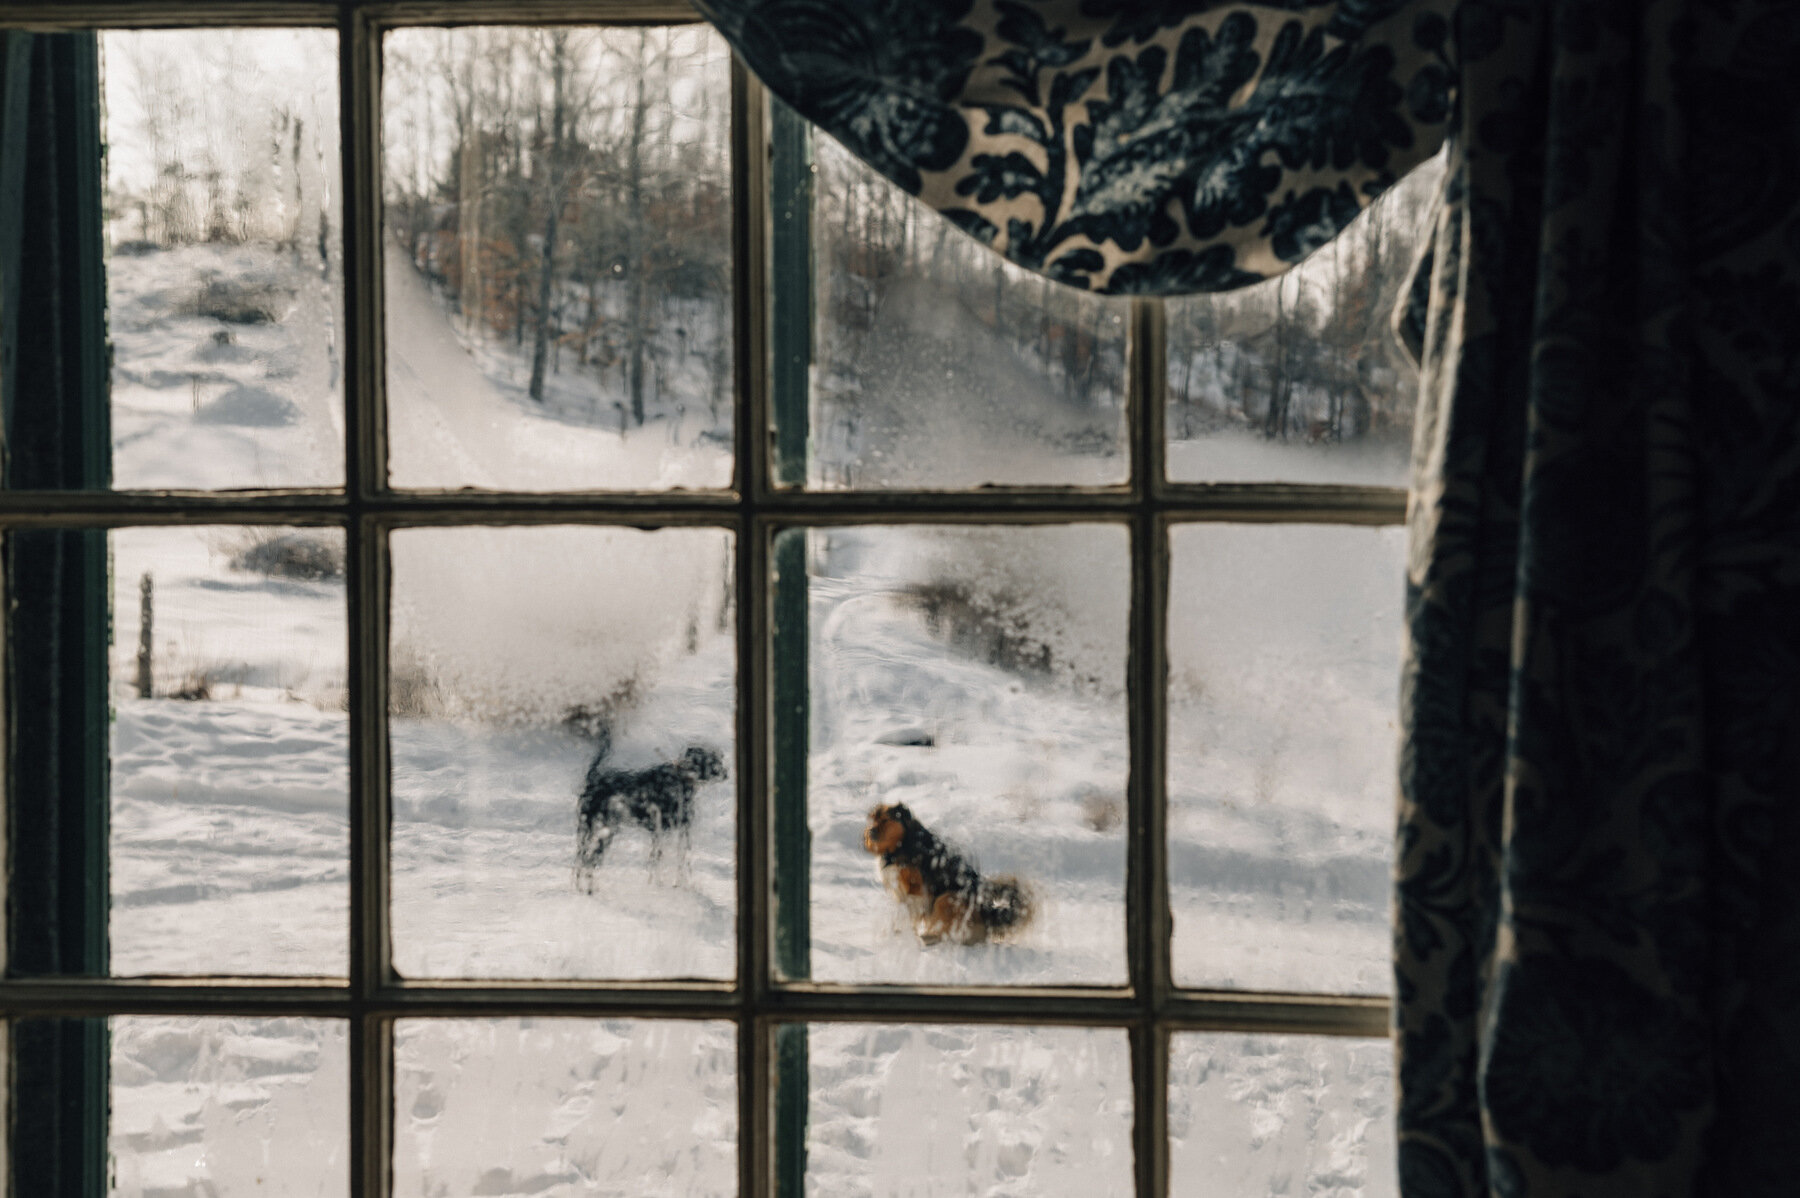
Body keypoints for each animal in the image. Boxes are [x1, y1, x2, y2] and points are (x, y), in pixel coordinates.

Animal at [568, 723, 723, 881]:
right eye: (713, 761)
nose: (726, 773)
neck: (683, 778)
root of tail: (593, 778)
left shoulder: (678, 831)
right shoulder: (661, 831)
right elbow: (658, 861)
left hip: (602, 832)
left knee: (586, 860)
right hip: (593, 829)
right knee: (585, 859)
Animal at [860, 802, 1036, 942]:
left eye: (886, 820)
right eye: (873, 820)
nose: (870, 832)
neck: (901, 845)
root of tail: (988, 914)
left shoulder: (918, 890)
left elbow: (910, 913)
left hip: (946, 897)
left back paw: (930, 937)